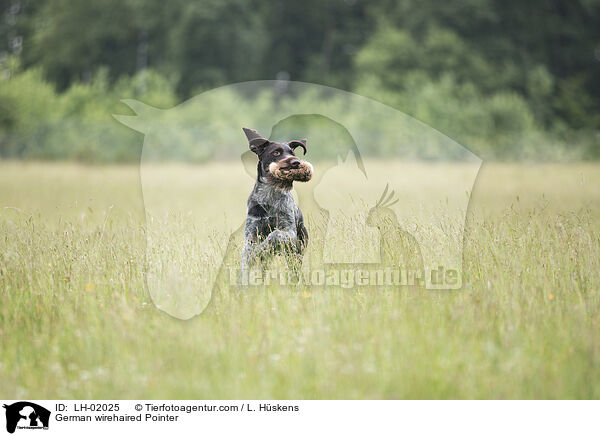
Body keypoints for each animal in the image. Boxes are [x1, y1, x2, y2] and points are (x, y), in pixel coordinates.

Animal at [240, 126, 314, 282]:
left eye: (292, 153)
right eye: (276, 152)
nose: (296, 162)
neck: (269, 196)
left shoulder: (289, 232)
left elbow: (275, 234)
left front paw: (261, 248)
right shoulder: (250, 234)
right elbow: (248, 255)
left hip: (296, 251)